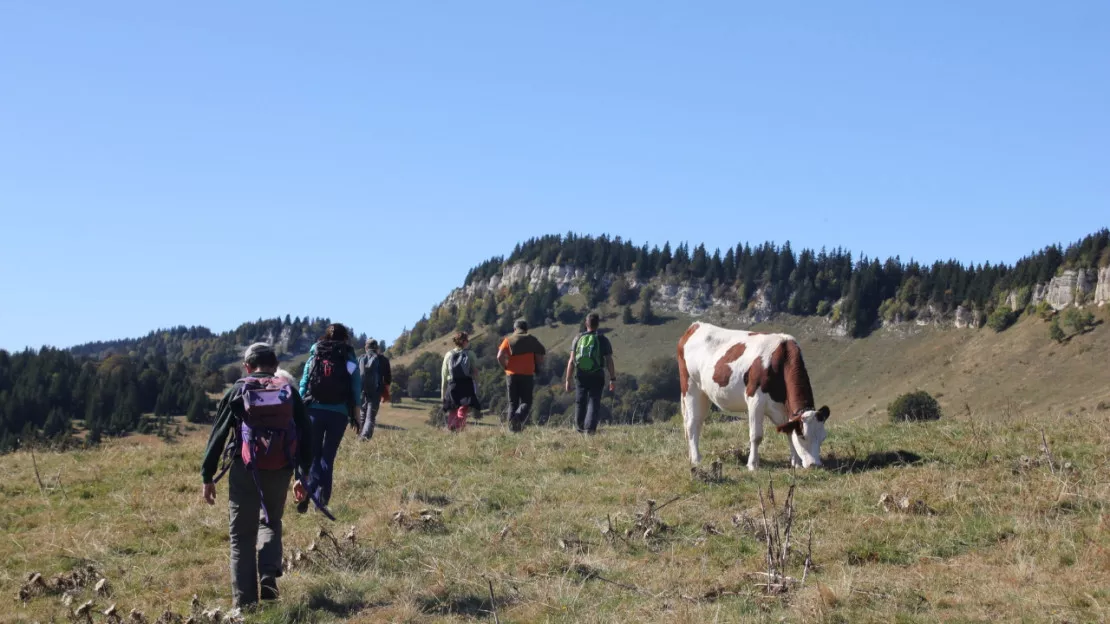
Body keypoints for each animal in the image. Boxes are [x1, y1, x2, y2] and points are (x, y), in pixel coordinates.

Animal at [674, 321, 834, 468]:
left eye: (823, 437)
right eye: (802, 436)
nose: (815, 464)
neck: (781, 359)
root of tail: (696, 325)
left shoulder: (783, 408)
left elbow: (788, 431)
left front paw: (796, 463)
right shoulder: (755, 400)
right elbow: (756, 436)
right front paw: (752, 464)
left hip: (704, 394)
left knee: (697, 423)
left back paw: (692, 456)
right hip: (690, 388)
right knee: (692, 424)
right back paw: (696, 459)